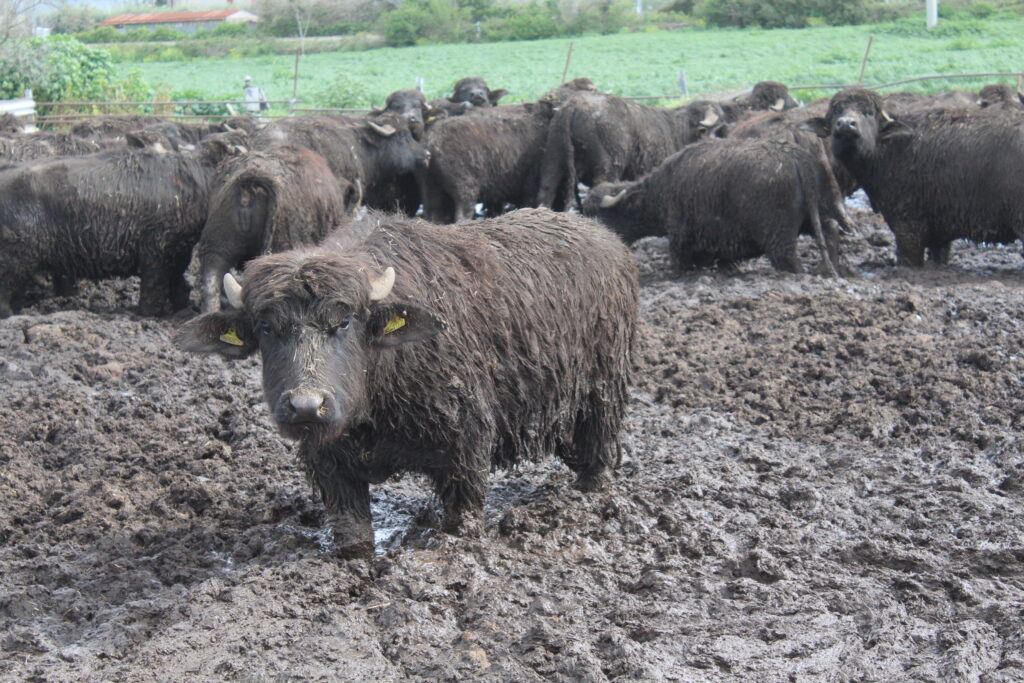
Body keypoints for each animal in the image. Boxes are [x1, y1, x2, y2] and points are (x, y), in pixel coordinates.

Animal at [180, 209, 634, 561]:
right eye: (266, 327)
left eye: (344, 321)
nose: (306, 406)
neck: (374, 405)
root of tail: (610, 244)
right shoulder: (331, 468)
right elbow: (353, 536)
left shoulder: (465, 451)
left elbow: (462, 516)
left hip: (603, 393)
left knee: (599, 451)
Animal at [581, 136, 843, 278]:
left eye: (600, 215)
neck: (660, 190)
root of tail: (796, 157)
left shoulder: (680, 240)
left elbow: (679, 263)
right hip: (819, 218)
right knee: (831, 236)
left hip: (779, 241)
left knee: (791, 262)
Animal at [806, 86, 1024, 266]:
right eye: (836, 112)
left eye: (869, 113)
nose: (845, 124)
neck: (890, 148)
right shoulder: (940, 232)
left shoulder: (907, 226)